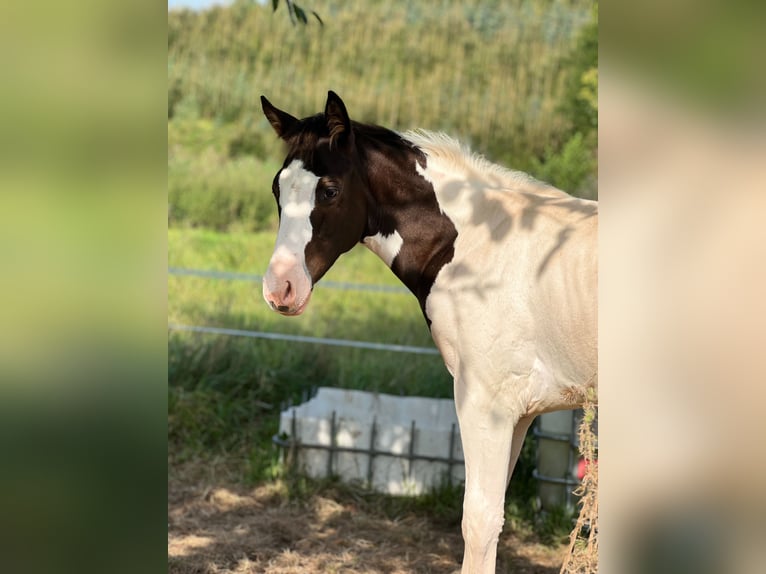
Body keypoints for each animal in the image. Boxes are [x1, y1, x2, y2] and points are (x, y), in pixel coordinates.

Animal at [260, 92, 596, 572]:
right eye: (277, 188)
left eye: (329, 190)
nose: (280, 288)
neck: (481, 248)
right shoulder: (519, 414)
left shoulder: (487, 404)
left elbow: (479, 520)